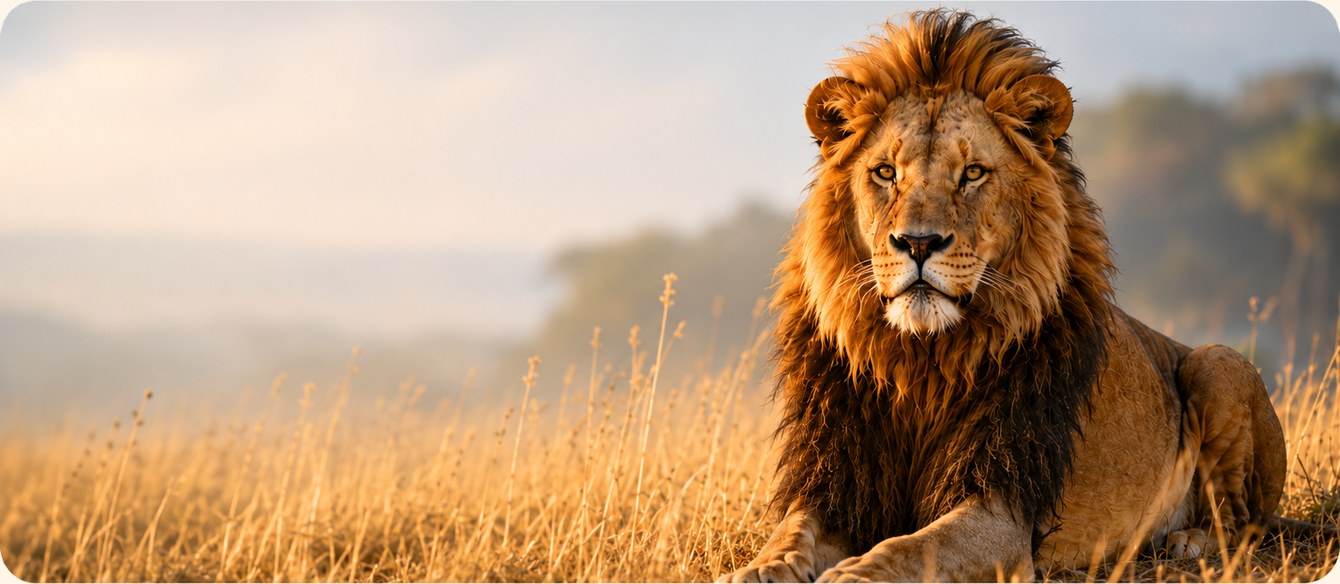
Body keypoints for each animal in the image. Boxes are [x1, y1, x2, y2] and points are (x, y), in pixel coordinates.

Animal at [718, 10, 1287, 583]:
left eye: (972, 173)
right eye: (885, 172)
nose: (917, 243)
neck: (919, 362)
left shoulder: (1002, 509)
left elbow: (910, 547)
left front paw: (853, 574)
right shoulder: (839, 486)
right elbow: (789, 537)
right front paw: (756, 570)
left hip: (1219, 362)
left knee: (1242, 522)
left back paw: (1189, 540)